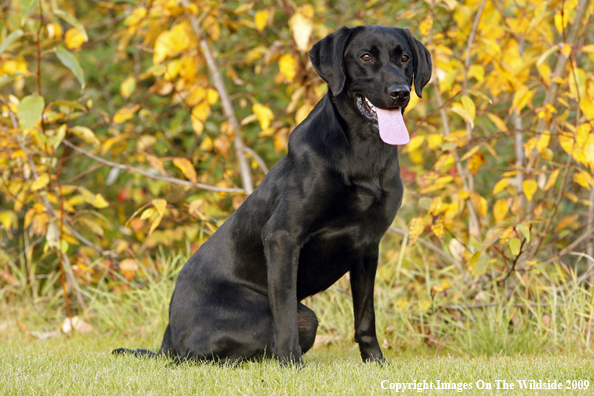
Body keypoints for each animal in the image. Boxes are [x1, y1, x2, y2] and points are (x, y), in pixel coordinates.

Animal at [114, 24, 430, 366]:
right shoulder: (282, 237)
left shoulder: (368, 246)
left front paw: (375, 361)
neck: (363, 152)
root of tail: (168, 337)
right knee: (204, 355)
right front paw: (291, 363)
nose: (400, 92)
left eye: (404, 58)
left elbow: (365, 316)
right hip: (282, 318)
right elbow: (285, 314)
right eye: (366, 57)